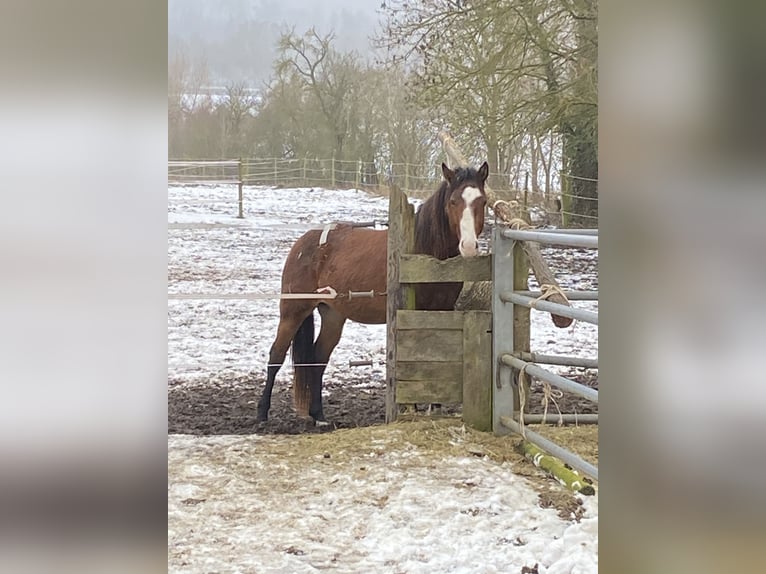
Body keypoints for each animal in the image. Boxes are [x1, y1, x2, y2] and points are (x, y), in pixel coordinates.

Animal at [257, 161, 489, 424]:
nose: (469, 246)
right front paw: (411, 409)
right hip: (293, 311)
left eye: (482, 202)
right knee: (276, 355)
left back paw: (319, 416)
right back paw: (262, 413)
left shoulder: (441, 311)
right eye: (453, 201)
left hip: (333, 316)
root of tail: (303, 242)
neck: (426, 254)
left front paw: (435, 408)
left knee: (318, 358)